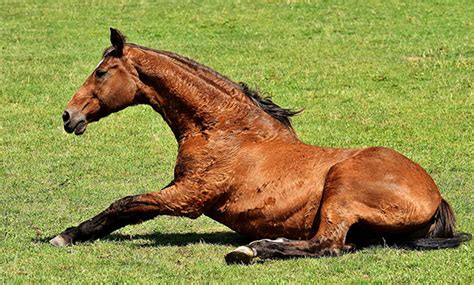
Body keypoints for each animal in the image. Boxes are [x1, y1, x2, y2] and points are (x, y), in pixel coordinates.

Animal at [51, 27, 470, 262]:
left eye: (101, 72)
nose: (69, 116)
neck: (226, 130)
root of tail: (436, 197)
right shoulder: (181, 189)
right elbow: (128, 208)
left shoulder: (188, 197)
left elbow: (125, 205)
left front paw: (66, 235)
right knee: (341, 245)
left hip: (342, 191)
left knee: (329, 245)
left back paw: (251, 249)